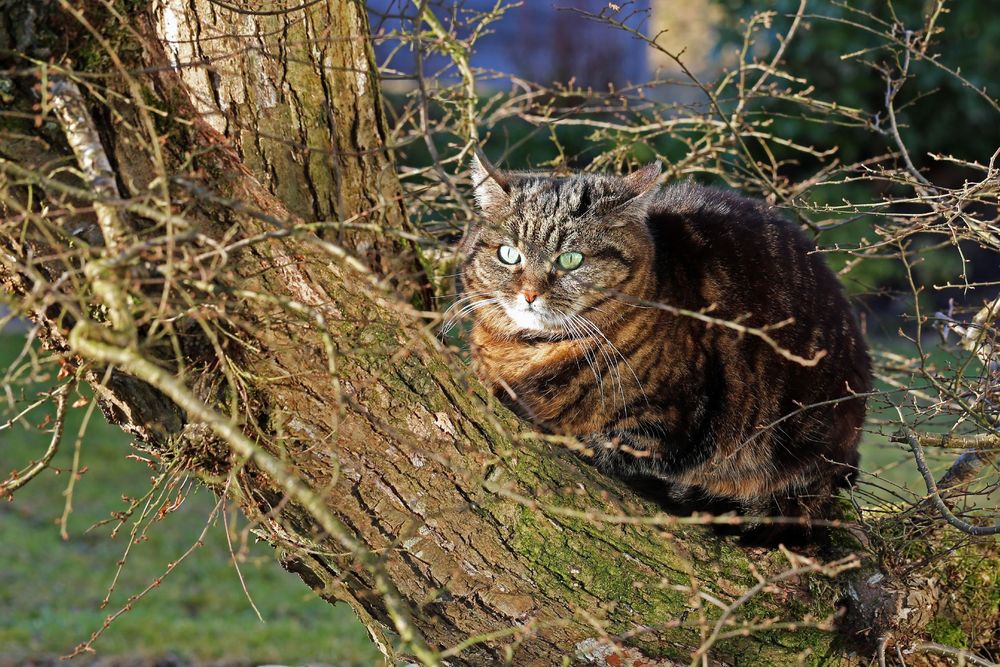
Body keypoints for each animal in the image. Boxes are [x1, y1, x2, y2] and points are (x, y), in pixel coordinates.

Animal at [458, 150, 872, 536]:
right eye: (509, 254)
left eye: (571, 259)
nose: (529, 294)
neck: (530, 350)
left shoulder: (673, 426)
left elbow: (598, 442)